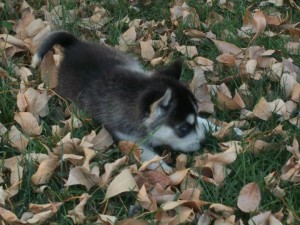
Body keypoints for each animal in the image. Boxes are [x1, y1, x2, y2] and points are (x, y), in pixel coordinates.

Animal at [31, 30, 212, 172]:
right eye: (183, 128)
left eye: (194, 121)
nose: (204, 141)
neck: (135, 89)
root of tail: (74, 45)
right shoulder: (125, 137)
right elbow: (147, 154)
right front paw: (165, 170)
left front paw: (211, 125)